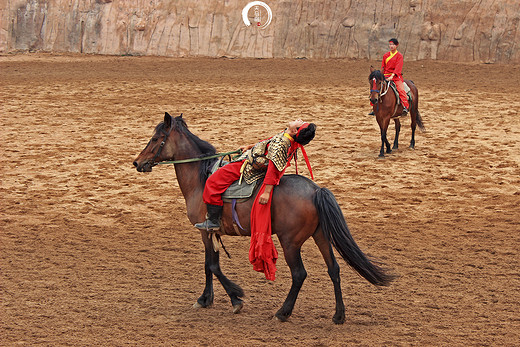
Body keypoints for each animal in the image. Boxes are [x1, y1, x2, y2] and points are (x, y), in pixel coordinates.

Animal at [133, 113, 394, 324]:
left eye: (155, 138)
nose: (137, 162)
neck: (200, 178)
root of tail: (315, 190)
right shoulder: (209, 233)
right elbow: (208, 266)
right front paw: (205, 299)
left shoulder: (205, 230)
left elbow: (213, 266)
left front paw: (236, 298)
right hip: (320, 236)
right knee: (334, 269)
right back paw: (338, 315)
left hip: (290, 243)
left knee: (299, 274)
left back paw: (283, 312)